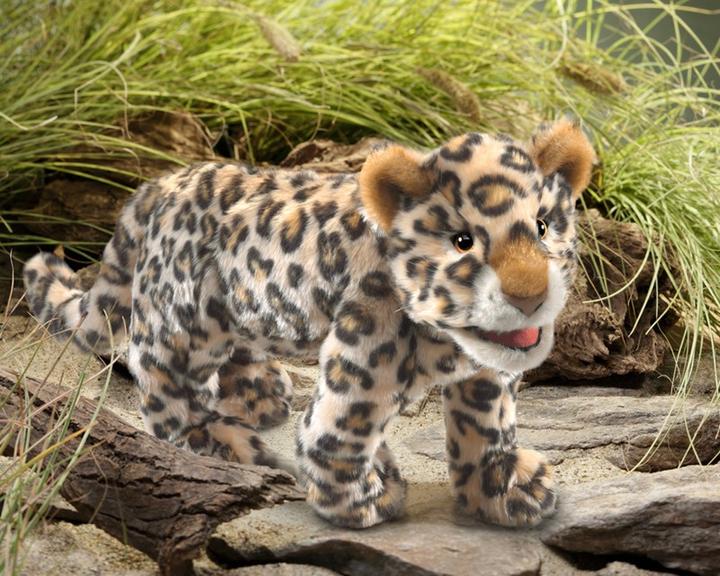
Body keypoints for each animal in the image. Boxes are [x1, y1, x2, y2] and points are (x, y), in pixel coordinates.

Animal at [23, 119, 595, 529]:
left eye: (543, 226)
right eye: (463, 242)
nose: (529, 296)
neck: (449, 337)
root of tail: (158, 185)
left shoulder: (485, 373)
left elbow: (485, 427)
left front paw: (502, 488)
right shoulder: (363, 360)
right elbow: (339, 428)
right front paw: (361, 498)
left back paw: (257, 392)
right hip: (183, 322)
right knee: (166, 387)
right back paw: (224, 444)